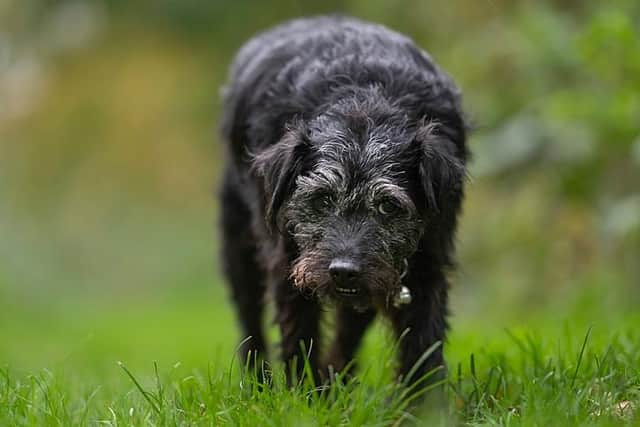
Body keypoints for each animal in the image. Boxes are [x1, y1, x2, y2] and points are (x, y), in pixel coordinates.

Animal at [222, 15, 468, 388]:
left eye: (388, 206)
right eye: (322, 200)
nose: (343, 271)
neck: (364, 101)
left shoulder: (428, 263)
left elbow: (423, 343)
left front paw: (421, 401)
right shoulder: (288, 260)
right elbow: (300, 333)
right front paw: (303, 394)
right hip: (238, 242)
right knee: (250, 321)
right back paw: (258, 383)